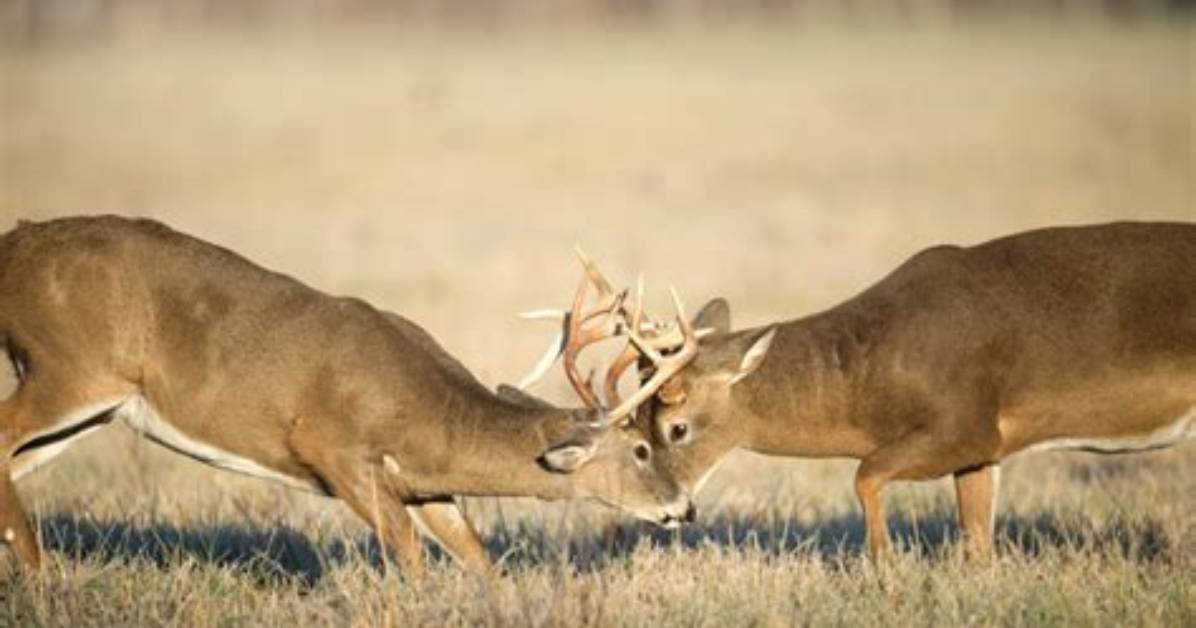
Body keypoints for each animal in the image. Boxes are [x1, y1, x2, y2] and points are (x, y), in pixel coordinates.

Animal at [0, 215, 696, 576]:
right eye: (641, 449)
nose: (684, 508)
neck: (427, 412)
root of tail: (14, 244)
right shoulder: (334, 450)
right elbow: (412, 559)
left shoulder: (426, 485)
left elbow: (478, 559)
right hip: (68, 366)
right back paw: (41, 578)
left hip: (95, 408)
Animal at [525, 223, 1196, 561]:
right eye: (635, 429)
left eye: (676, 427)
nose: (677, 510)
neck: (867, 379)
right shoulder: (985, 449)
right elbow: (977, 545)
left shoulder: (963, 421)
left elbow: (865, 475)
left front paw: (886, 574)